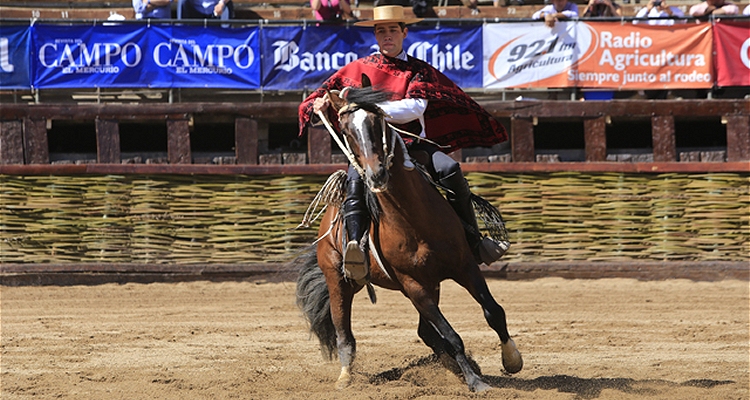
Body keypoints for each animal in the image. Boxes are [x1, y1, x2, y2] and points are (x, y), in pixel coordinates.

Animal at [296, 82, 524, 394]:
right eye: (346, 130)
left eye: (377, 121)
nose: (376, 174)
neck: (415, 221)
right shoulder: (414, 285)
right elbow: (452, 336)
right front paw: (476, 381)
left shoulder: (464, 266)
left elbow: (493, 311)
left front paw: (511, 359)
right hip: (338, 280)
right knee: (344, 330)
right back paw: (345, 377)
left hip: (429, 283)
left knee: (426, 331)